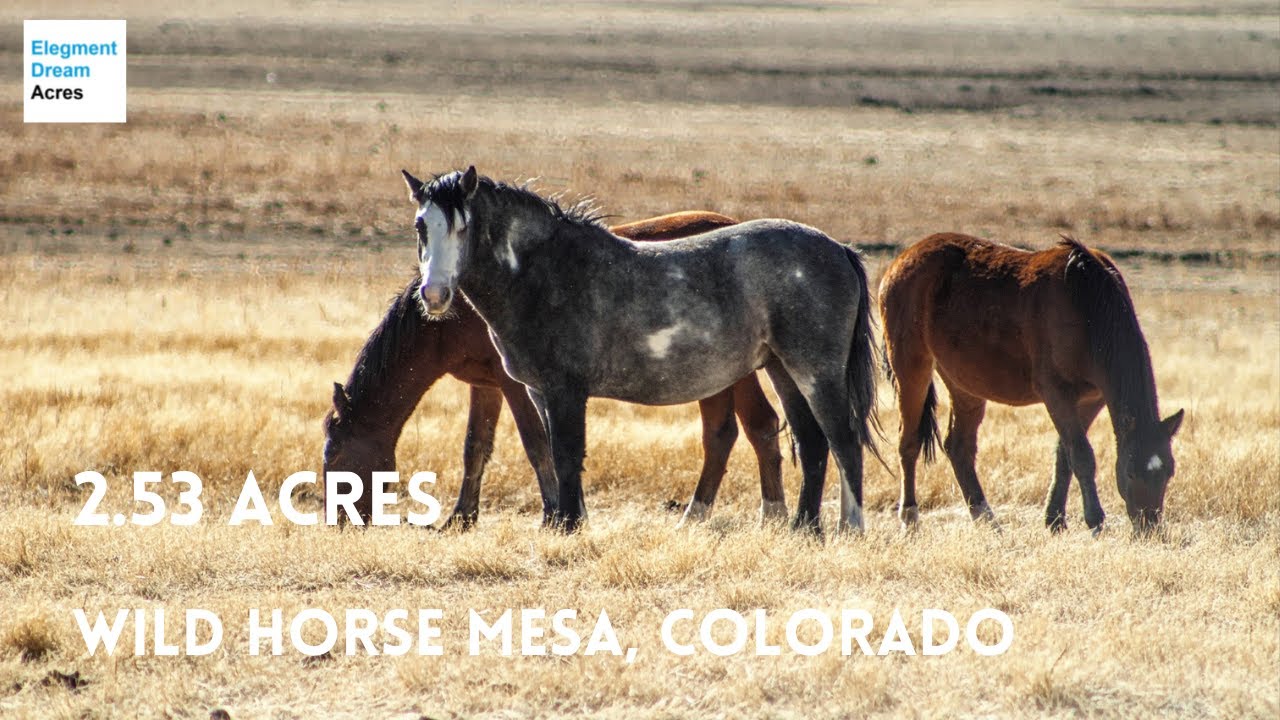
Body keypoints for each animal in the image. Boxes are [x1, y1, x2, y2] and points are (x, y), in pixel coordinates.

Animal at [322, 211, 787, 529]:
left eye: (334, 456)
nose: (339, 522)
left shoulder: (518, 383)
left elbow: (538, 444)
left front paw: (557, 514)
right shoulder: (486, 384)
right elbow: (476, 446)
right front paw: (462, 518)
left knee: (750, 428)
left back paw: (761, 516)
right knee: (730, 433)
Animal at [403, 166, 879, 534]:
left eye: (463, 226)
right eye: (421, 226)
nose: (435, 294)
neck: (545, 273)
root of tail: (839, 249)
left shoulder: (565, 391)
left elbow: (567, 455)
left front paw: (569, 527)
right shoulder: (538, 392)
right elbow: (552, 455)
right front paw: (566, 523)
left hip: (816, 370)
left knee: (844, 440)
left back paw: (849, 528)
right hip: (783, 369)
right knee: (813, 442)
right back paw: (804, 529)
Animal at [878, 232, 1184, 534]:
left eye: (1169, 471)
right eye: (1130, 472)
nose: (1149, 527)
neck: (1086, 302)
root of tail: (900, 261)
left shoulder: (1091, 399)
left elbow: (1064, 456)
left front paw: (1055, 519)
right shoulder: (1056, 394)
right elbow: (1082, 455)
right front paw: (1094, 520)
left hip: (965, 383)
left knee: (959, 447)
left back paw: (986, 519)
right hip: (911, 368)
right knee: (909, 442)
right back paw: (910, 518)